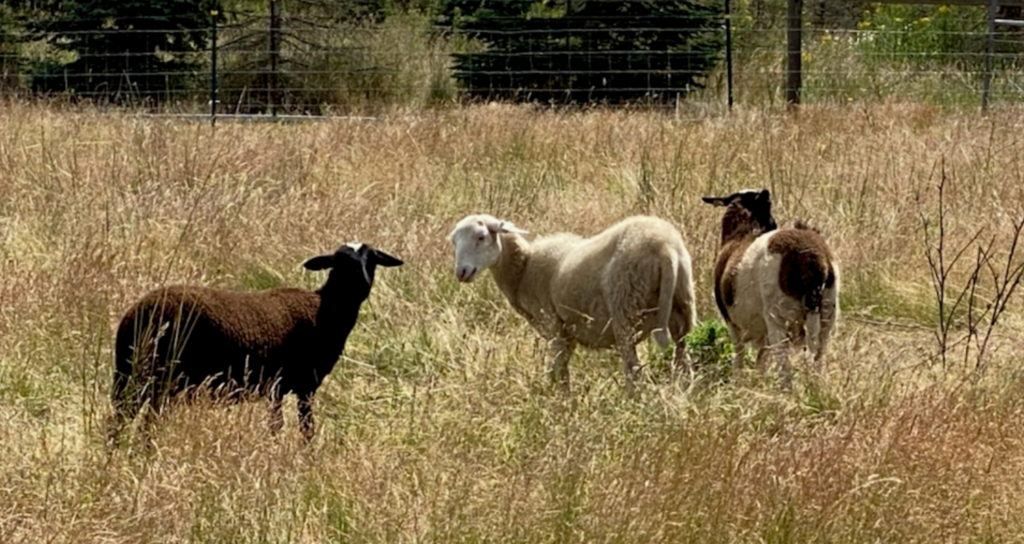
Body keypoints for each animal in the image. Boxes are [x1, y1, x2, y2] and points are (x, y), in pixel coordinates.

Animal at [108, 243, 401, 446]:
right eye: (339, 261)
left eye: (373, 259)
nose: (363, 282)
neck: (324, 309)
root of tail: (135, 316)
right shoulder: (305, 385)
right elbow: (305, 430)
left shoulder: (277, 388)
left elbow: (276, 425)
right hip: (162, 377)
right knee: (144, 423)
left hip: (129, 374)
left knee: (121, 419)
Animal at [448, 213, 696, 391]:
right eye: (454, 242)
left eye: (481, 237)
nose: (461, 272)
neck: (523, 270)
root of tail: (665, 247)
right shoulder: (569, 332)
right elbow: (562, 371)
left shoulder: (553, 326)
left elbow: (556, 372)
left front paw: (559, 405)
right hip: (682, 307)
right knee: (683, 362)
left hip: (626, 309)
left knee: (634, 372)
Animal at [704, 189, 839, 389]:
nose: (774, 224)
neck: (739, 235)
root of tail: (814, 260)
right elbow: (761, 359)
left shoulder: (732, 322)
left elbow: (740, 355)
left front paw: (739, 384)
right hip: (828, 314)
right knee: (818, 358)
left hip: (779, 317)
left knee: (785, 368)